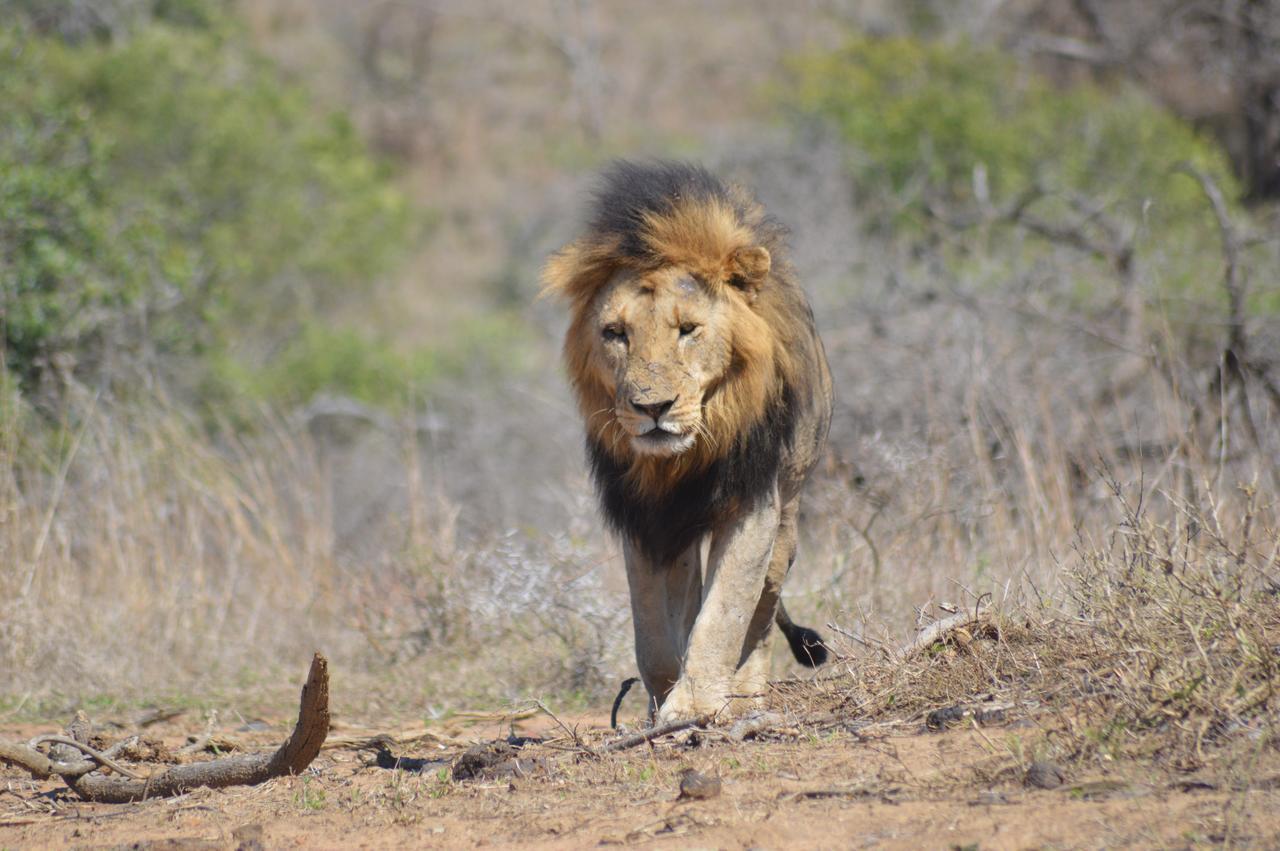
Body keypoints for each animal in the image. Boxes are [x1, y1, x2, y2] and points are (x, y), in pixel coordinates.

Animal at [537, 161, 829, 721]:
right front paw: (661, 707)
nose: (652, 408)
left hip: (787, 518)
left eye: (688, 329)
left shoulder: (753, 502)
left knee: (761, 615)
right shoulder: (646, 518)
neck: (682, 461)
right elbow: (653, 634)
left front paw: (695, 706)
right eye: (615, 333)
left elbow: (725, 613)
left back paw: (744, 694)